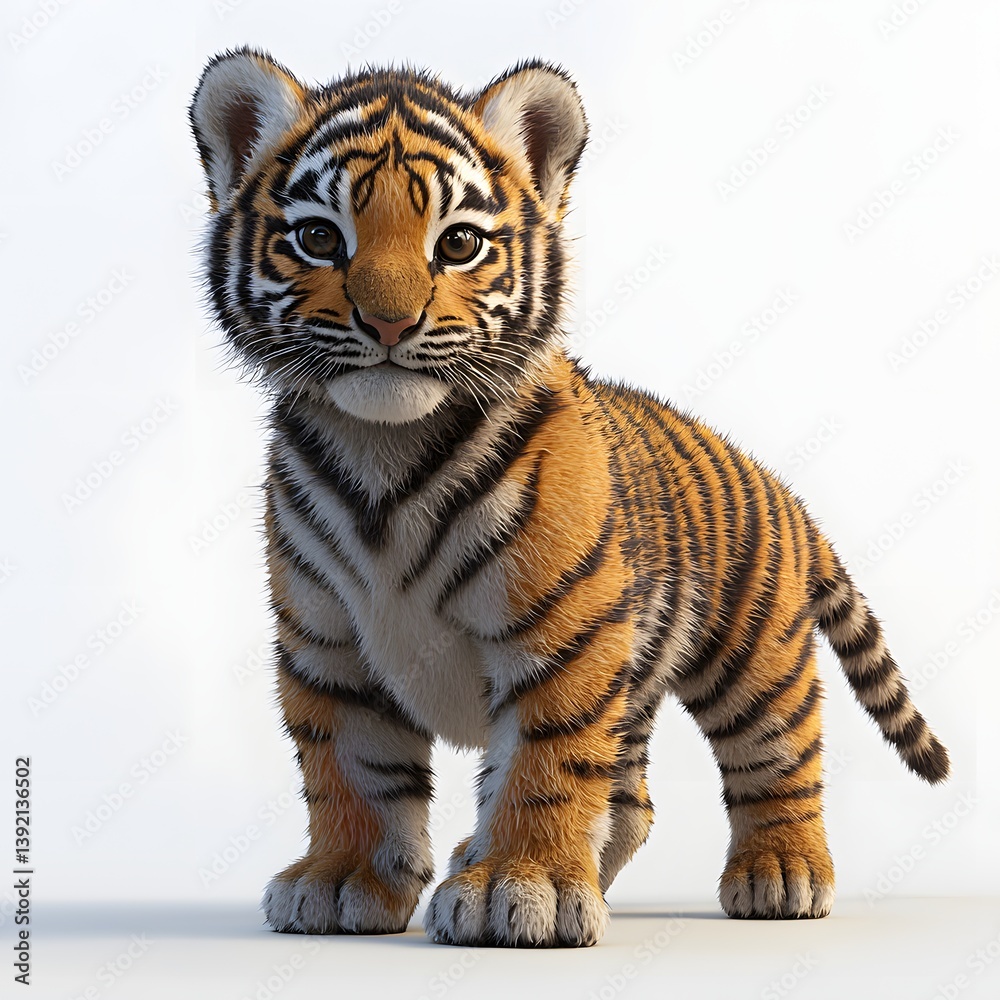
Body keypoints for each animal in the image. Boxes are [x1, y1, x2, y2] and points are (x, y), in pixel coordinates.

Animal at [189, 47, 950, 948]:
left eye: (458, 243)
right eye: (317, 238)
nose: (389, 323)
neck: (385, 454)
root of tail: (780, 486)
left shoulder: (563, 633)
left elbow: (543, 762)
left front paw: (524, 888)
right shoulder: (329, 643)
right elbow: (352, 768)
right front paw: (343, 882)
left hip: (754, 659)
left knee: (776, 759)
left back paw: (781, 873)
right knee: (634, 801)